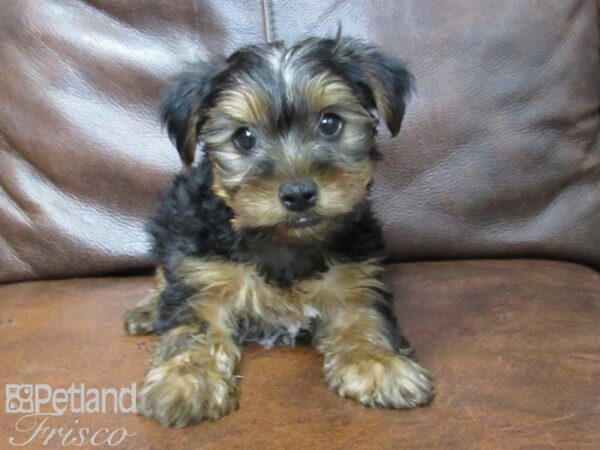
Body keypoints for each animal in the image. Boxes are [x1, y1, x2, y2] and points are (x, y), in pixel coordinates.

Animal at [124, 33, 434, 428]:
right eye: (243, 137)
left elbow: (364, 318)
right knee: (165, 272)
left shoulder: (353, 276)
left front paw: (379, 363)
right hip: (171, 222)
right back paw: (148, 310)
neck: (280, 241)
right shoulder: (203, 272)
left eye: (330, 122)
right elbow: (193, 326)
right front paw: (186, 380)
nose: (299, 193)